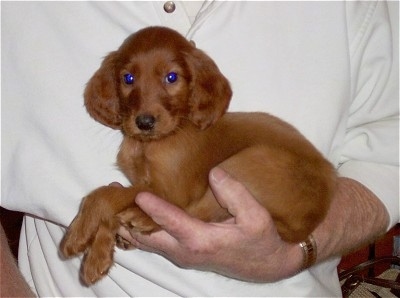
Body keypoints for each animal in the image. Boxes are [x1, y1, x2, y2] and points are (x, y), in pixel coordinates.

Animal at [59, 26, 336, 284]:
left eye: (171, 77)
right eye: (128, 78)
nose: (144, 122)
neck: (149, 144)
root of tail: (314, 215)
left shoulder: (172, 190)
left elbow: (105, 194)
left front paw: (78, 233)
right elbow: (114, 202)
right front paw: (98, 256)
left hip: (241, 165)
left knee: (194, 213)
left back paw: (142, 217)